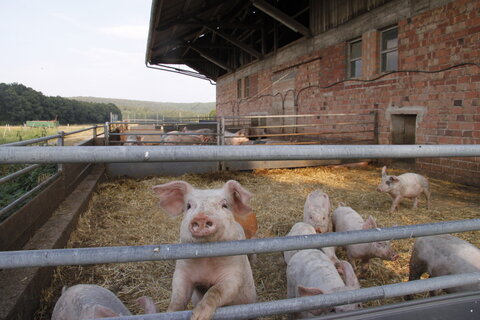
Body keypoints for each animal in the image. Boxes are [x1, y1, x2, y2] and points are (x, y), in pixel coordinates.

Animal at [152, 180, 256, 320]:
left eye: (225, 205)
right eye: (189, 205)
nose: (201, 217)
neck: (206, 261)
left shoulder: (234, 275)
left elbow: (216, 290)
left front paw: (198, 316)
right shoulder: (181, 272)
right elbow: (178, 297)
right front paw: (170, 314)